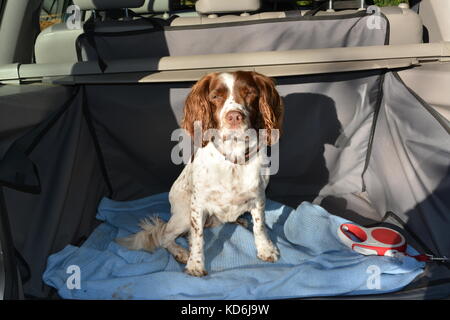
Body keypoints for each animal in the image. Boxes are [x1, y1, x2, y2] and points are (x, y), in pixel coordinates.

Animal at [118, 71, 284, 276]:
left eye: (250, 93)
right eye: (215, 96)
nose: (234, 117)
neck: (233, 159)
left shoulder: (259, 196)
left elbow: (260, 226)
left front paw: (265, 249)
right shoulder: (198, 204)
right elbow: (197, 236)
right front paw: (195, 264)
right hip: (183, 216)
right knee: (165, 236)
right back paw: (180, 252)